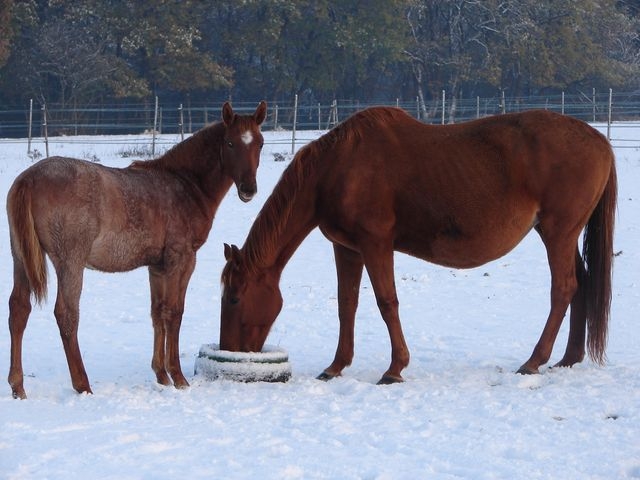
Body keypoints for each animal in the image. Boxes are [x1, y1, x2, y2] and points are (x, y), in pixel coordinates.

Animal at [7, 101, 267, 398]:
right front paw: (178, 378)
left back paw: (18, 386)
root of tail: (30, 178)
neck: (184, 184)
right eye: (230, 142)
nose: (248, 190)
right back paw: (82, 384)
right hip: (69, 262)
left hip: (20, 258)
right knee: (66, 314)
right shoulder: (182, 259)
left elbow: (157, 312)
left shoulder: (157, 267)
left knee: (19, 309)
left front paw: (162, 375)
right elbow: (174, 312)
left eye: (260, 143)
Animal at [219, 107, 616, 385]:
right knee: (581, 283)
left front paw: (394, 369)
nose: (230, 350)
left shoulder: (376, 244)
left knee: (563, 289)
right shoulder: (346, 248)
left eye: (234, 298)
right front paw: (335, 366)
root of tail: (600, 141)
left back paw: (534, 361)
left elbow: (386, 302)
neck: (339, 168)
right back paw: (568, 358)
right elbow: (347, 305)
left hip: (558, 233)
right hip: (562, 235)